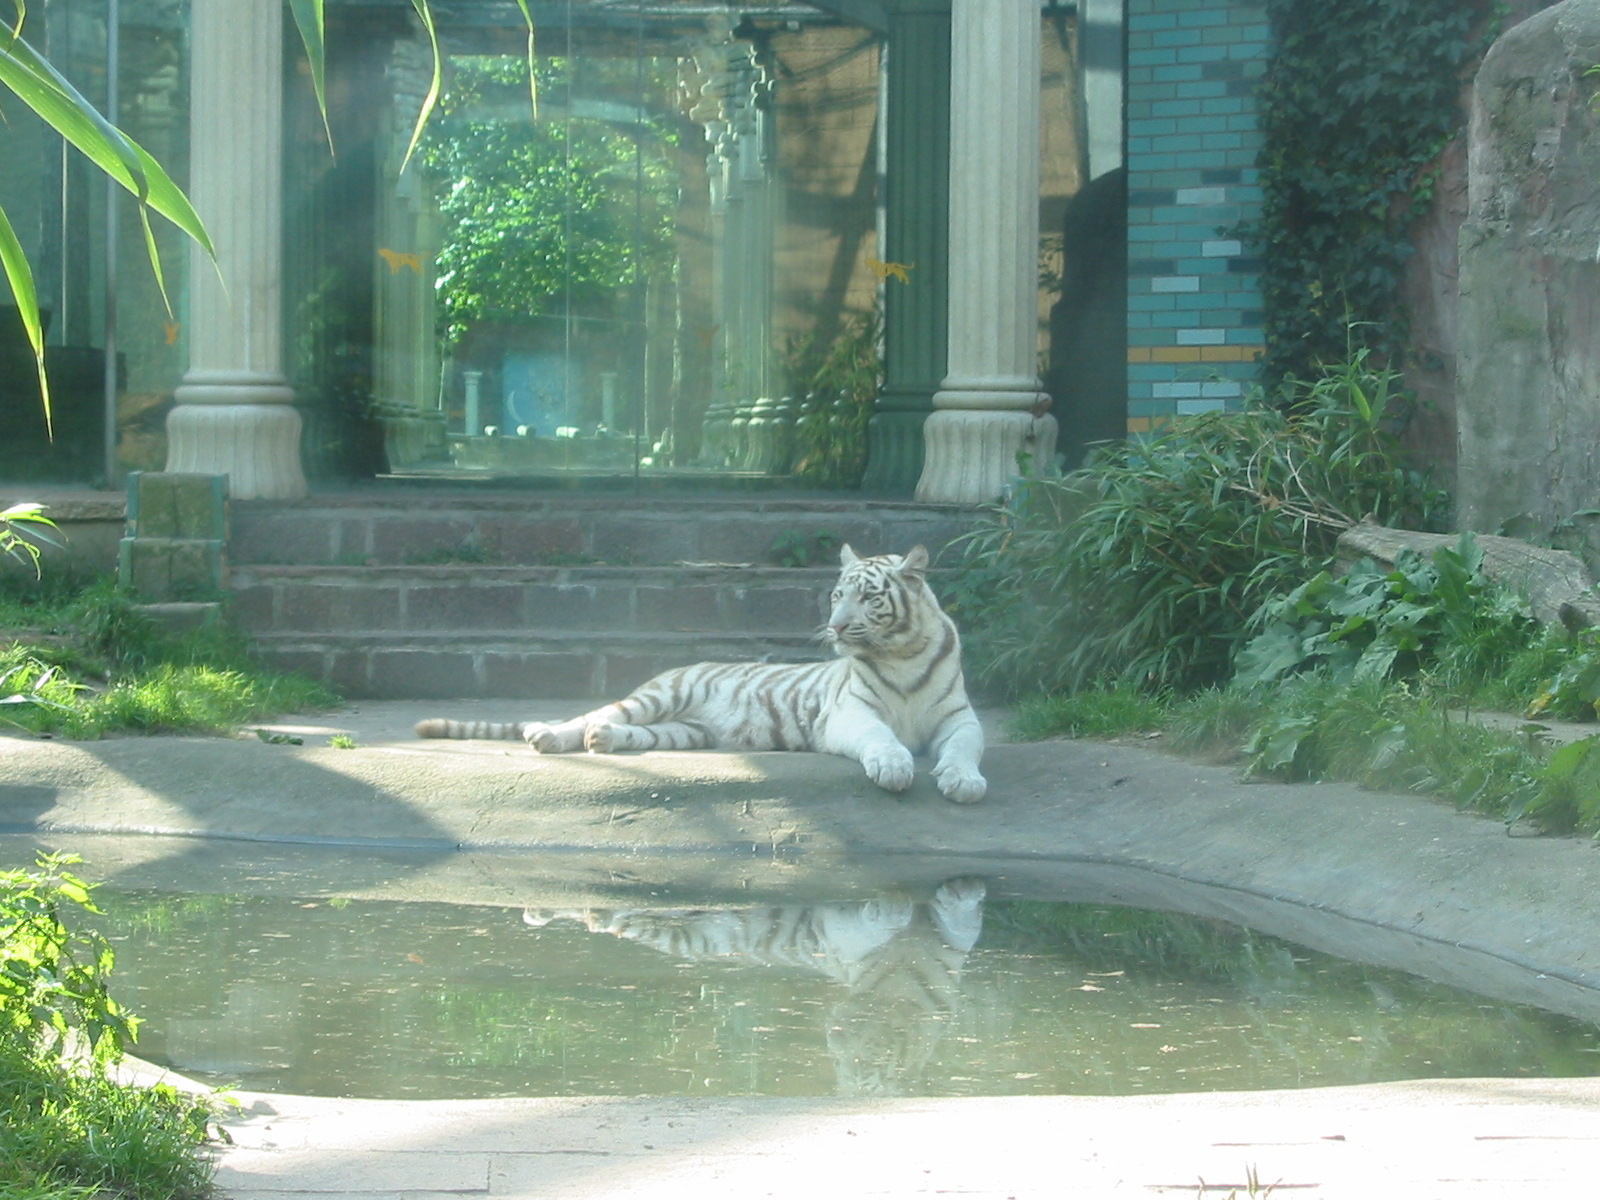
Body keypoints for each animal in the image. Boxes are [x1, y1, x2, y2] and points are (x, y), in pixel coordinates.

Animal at [414, 543, 986, 803]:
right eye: (836, 594)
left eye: (868, 597)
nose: (836, 626)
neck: (902, 652)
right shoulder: (850, 714)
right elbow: (880, 737)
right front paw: (893, 767)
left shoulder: (959, 718)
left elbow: (965, 747)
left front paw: (963, 781)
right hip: (661, 696)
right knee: (588, 715)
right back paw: (549, 736)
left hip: (686, 730)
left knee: (619, 729)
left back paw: (604, 740)